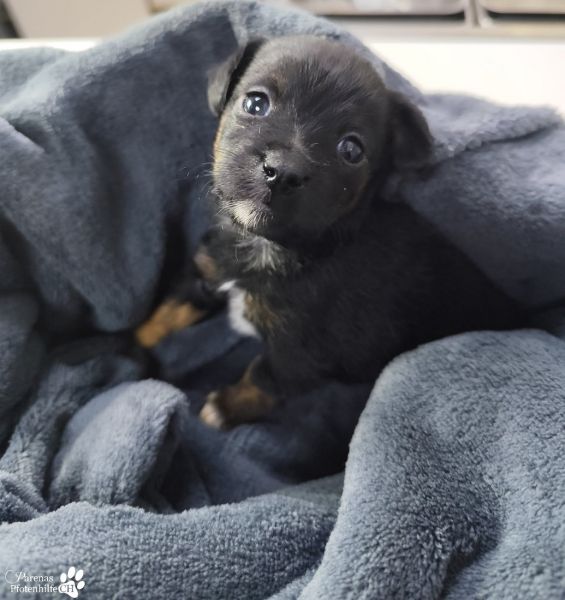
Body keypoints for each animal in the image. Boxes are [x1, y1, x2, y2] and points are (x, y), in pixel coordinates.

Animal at [136, 36, 520, 428]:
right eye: (256, 103)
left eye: (351, 149)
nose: (282, 172)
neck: (267, 247)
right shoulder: (206, 271)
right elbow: (169, 311)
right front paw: (131, 341)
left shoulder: (300, 351)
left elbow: (261, 378)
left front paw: (224, 408)